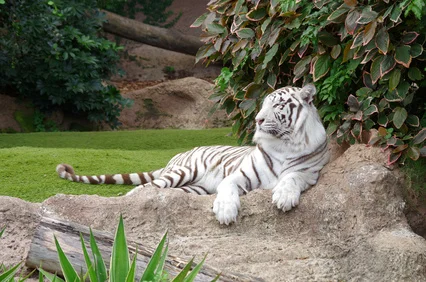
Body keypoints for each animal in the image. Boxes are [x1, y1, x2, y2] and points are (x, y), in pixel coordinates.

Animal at [56, 83, 330, 225]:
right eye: (262, 105)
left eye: (278, 105)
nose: (258, 120)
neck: (284, 143)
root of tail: (176, 156)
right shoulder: (239, 175)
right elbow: (227, 188)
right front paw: (225, 211)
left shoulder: (308, 172)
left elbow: (291, 178)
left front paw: (284, 197)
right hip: (183, 171)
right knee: (144, 188)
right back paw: (127, 199)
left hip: (193, 188)